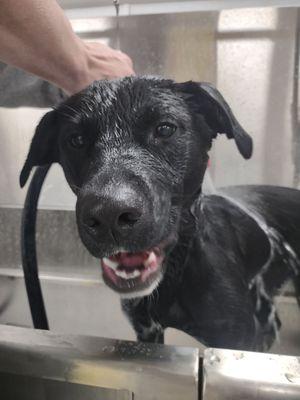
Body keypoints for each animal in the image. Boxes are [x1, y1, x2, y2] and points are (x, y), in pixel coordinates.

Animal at [19, 76, 300, 350]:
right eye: (76, 140)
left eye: (165, 129)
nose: (109, 215)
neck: (176, 273)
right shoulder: (147, 330)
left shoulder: (234, 339)